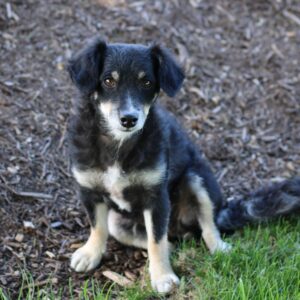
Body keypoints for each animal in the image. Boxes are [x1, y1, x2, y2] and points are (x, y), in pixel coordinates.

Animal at [67, 37, 300, 292]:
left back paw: (219, 248)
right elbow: (97, 227)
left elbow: (156, 239)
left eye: (146, 82)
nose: (129, 119)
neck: (118, 145)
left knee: (208, 226)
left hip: (197, 179)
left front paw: (162, 277)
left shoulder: (156, 198)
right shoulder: (89, 190)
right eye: (108, 80)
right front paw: (90, 254)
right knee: (151, 235)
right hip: (118, 222)